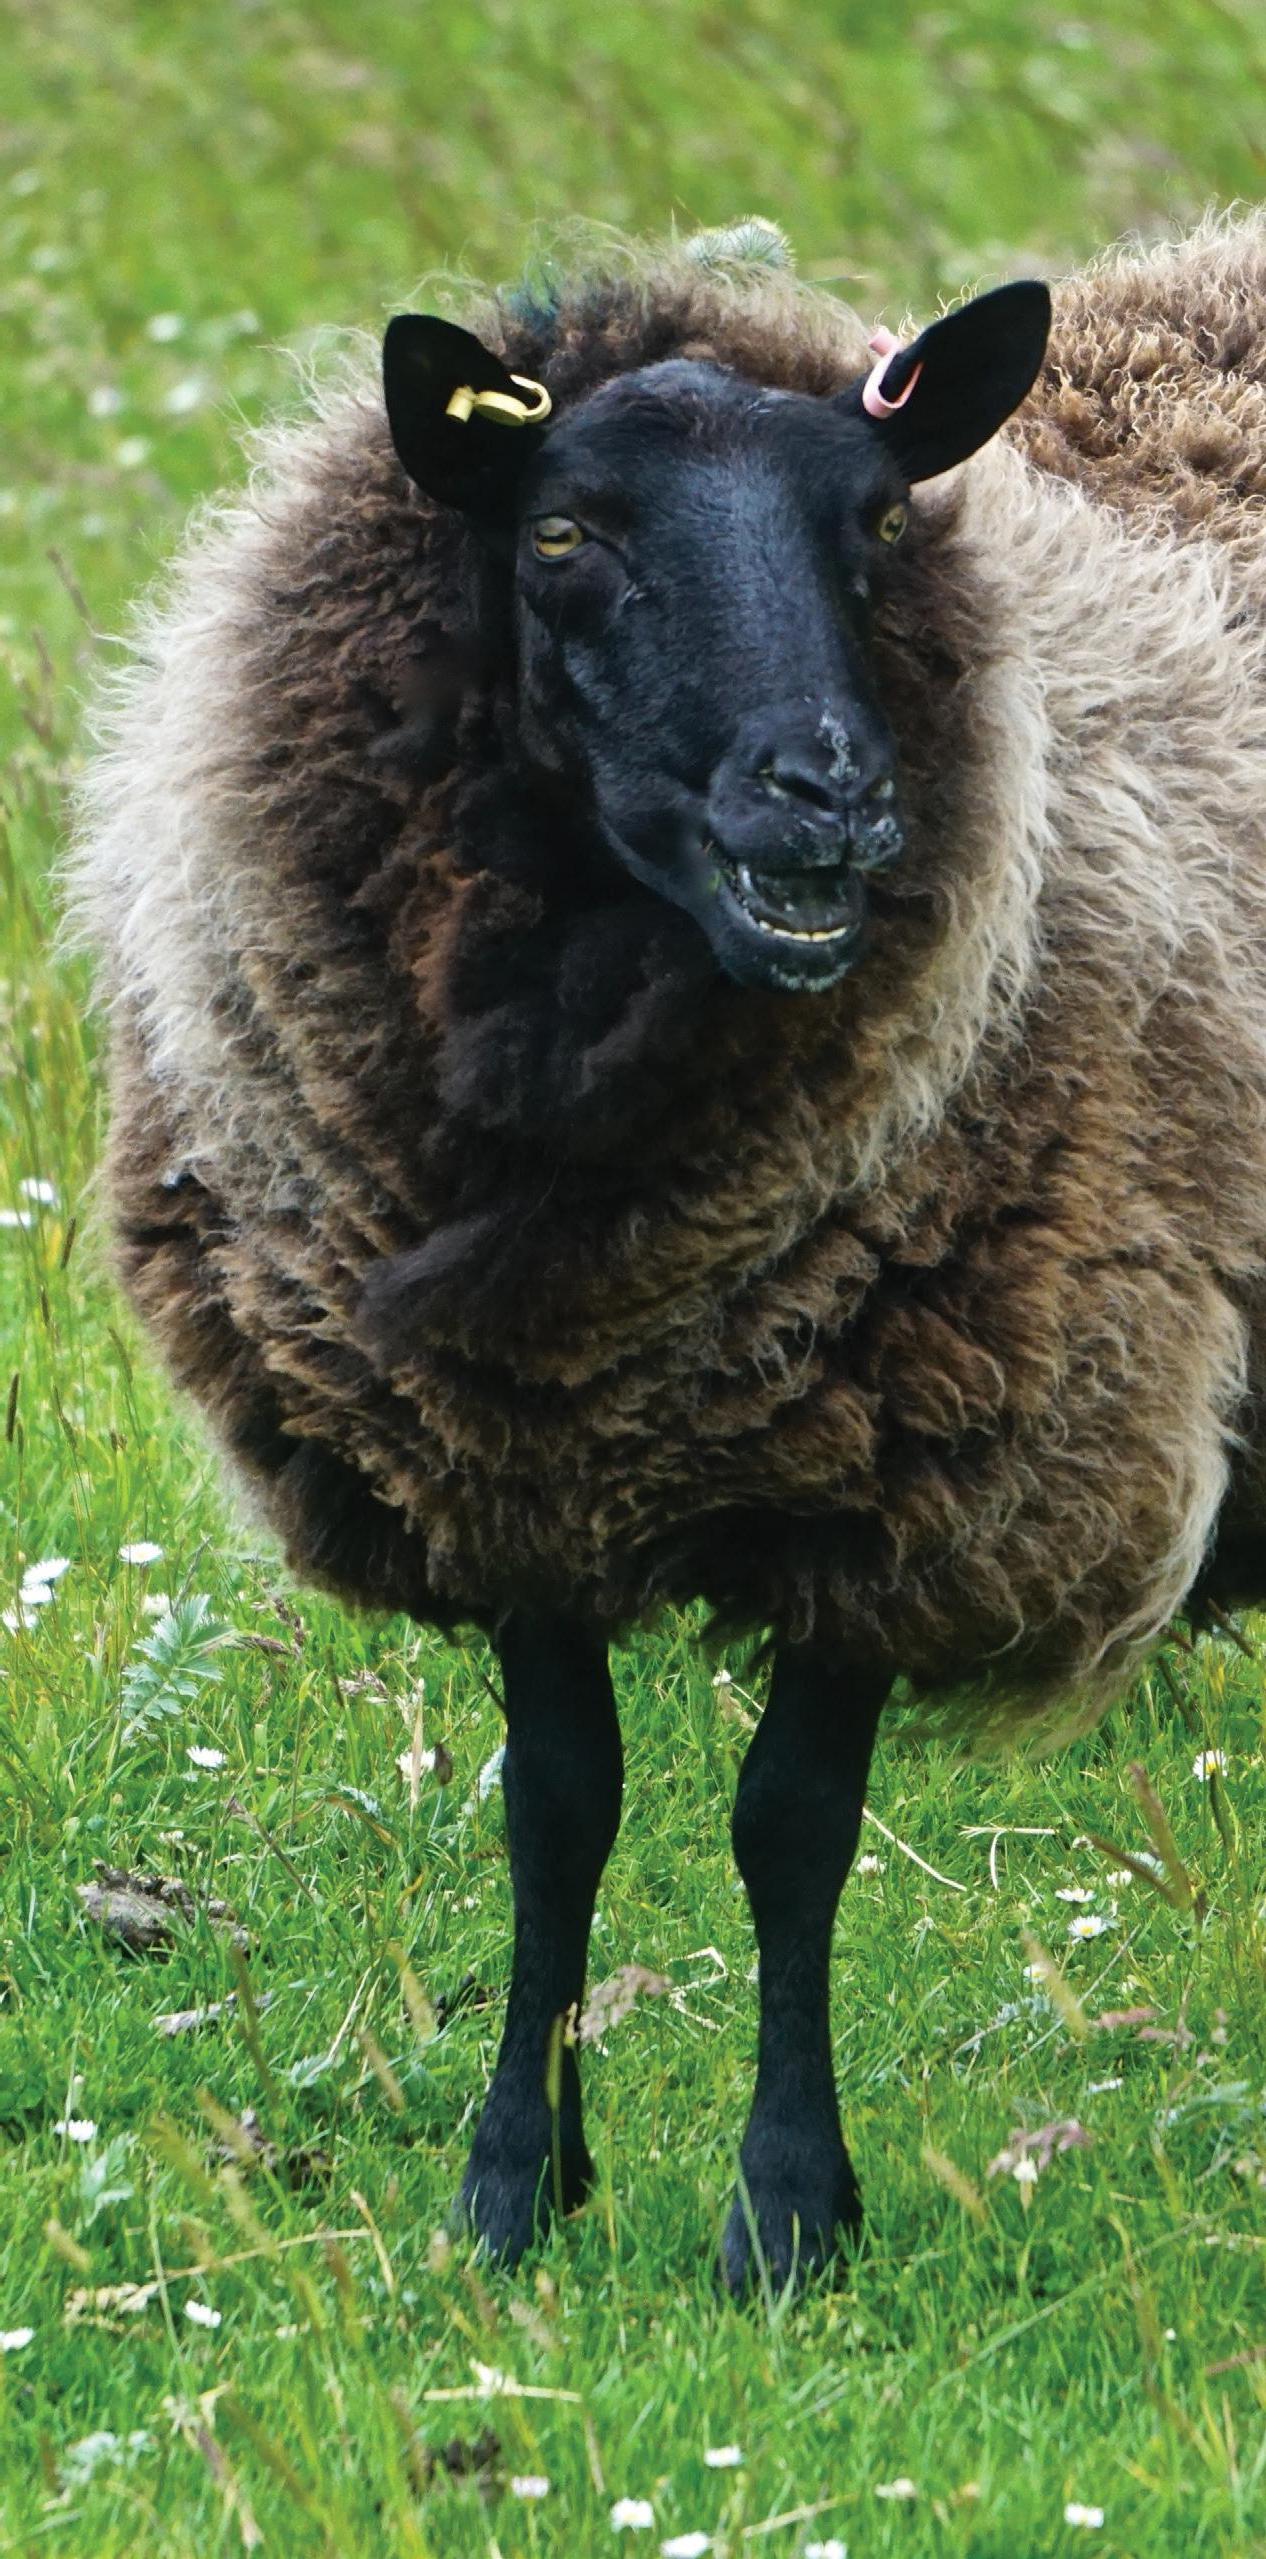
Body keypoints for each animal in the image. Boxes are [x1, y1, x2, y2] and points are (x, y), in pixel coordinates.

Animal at [72, 209, 1266, 2292]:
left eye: (877, 523)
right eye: (562, 531)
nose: (830, 790)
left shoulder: (897, 1468)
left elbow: (790, 1826)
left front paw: (784, 2213)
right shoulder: (504, 1452)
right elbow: (556, 1809)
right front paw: (509, 2189)